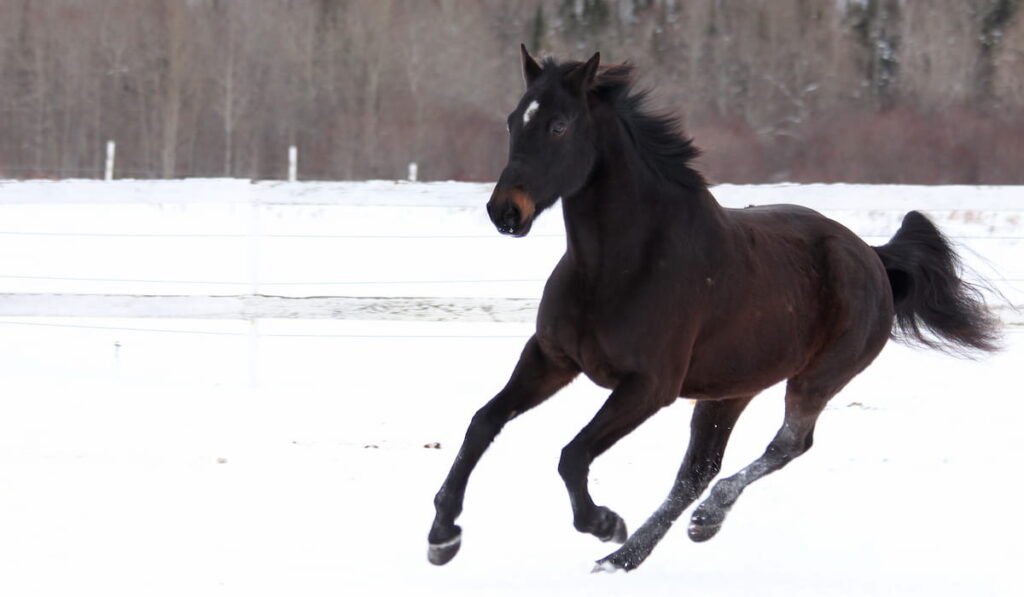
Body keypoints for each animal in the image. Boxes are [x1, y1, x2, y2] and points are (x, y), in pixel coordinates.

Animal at [425, 44, 999, 573]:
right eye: (512, 120)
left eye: (560, 125)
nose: (505, 212)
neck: (619, 267)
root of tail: (874, 258)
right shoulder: (551, 359)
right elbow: (483, 422)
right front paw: (443, 535)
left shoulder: (648, 387)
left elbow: (573, 455)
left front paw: (604, 522)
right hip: (729, 391)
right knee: (697, 471)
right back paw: (634, 555)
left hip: (816, 379)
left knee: (786, 446)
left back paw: (686, 526)